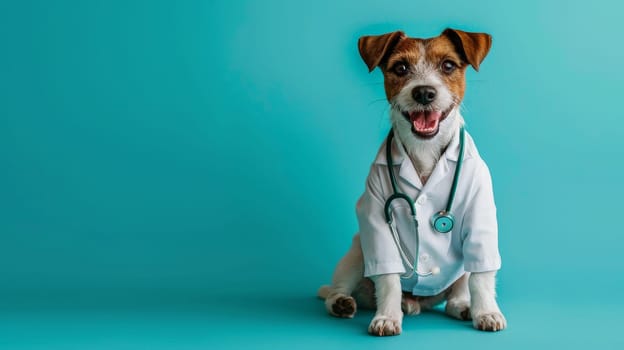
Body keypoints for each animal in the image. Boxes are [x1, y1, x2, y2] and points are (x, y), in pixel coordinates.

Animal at [316, 29, 508, 336]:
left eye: (448, 66)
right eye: (401, 68)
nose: (424, 92)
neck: (424, 150)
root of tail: (422, 301)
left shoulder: (480, 216)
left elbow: (481, 275)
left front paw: (486, 311)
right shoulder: (377, 217)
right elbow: (389, 280)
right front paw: (387, 316)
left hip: (459, 269)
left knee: (459, 289)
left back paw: (460, 305)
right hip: (357, 254)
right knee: (340, 288)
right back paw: (345, 303)